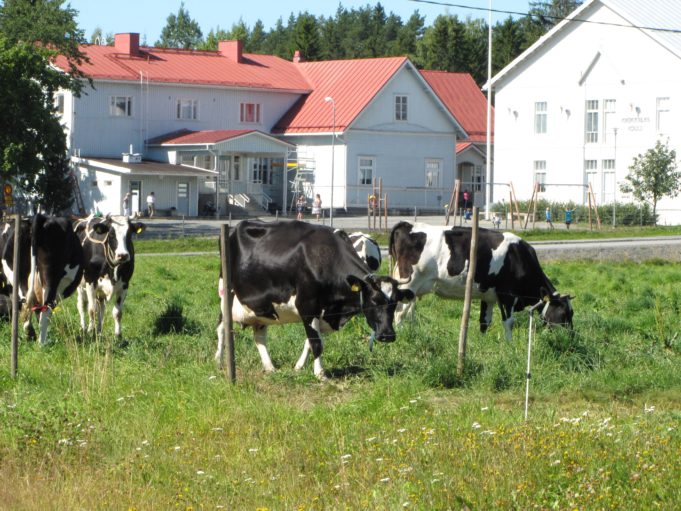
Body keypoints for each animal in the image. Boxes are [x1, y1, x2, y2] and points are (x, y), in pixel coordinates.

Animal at [215, 220, 412, 380]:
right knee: (221, 327)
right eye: (373, 300)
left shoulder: (323, 312)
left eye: (395, 303)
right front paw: (320, 374)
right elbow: (316, 343)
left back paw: (270, 367)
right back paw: (218, 361)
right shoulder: (307, 306)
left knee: (259, 336)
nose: (387, 335)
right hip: (226, 294)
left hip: (263, 307)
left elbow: (311, 341)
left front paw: (298, 367)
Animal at [388, 223, 572, 340]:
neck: (519, 257)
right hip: (409, 283)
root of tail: (407, 225)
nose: (570, 337)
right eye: (565, 314)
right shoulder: (507, 296)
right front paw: (509, 346)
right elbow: (508, 323)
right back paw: (402, 335)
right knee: (399, 313)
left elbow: (484, 322)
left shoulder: (488, 296)